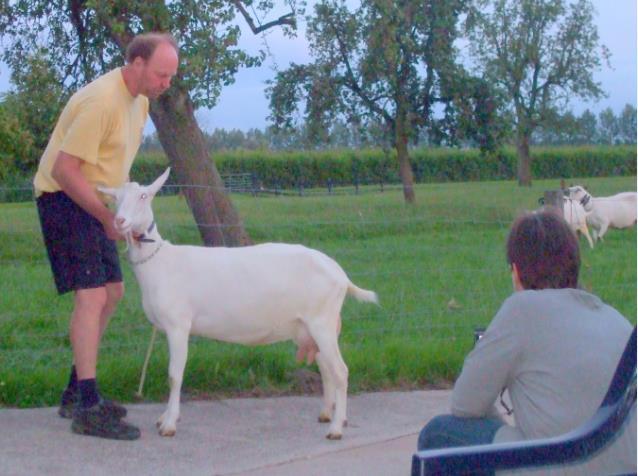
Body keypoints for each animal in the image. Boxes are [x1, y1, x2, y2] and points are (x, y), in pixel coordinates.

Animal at [100, 169, 380, 440]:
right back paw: (328, 415)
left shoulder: (178, 325)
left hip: (322, 321)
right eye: (116, 198)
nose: (119, 221)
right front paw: (165, 417)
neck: (160, 263)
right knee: (326, 369)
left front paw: (169, 424)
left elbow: (174, 375)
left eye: (144, 196)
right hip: (310, 327)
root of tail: (340, 274)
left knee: (341, 371)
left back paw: (336, 429)